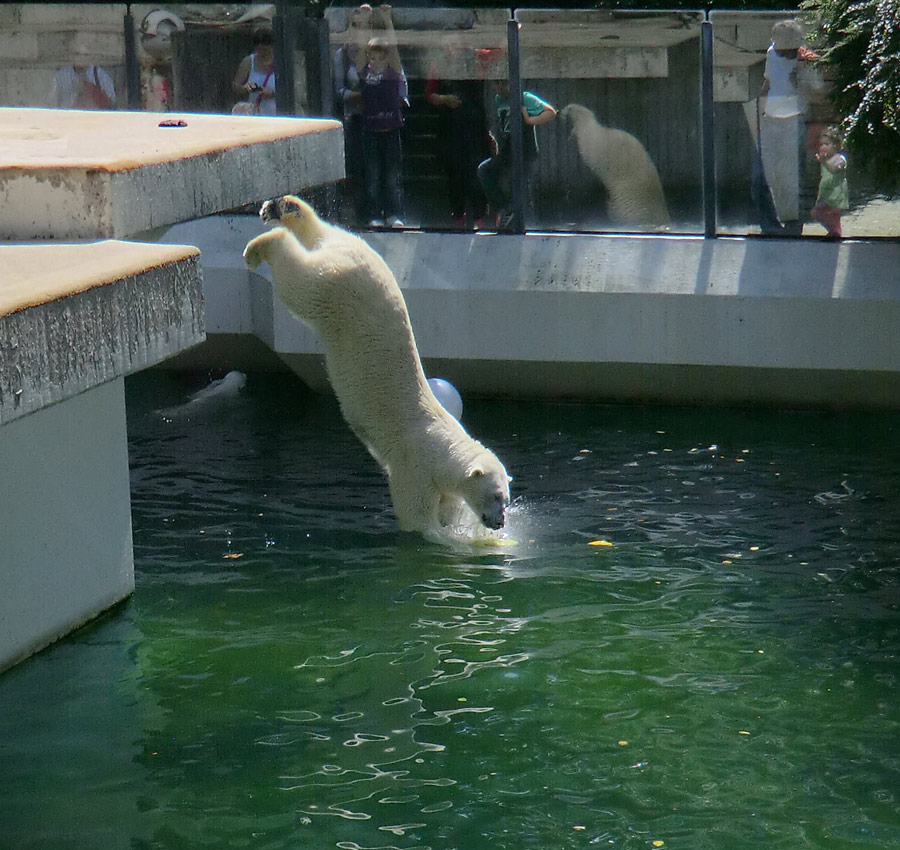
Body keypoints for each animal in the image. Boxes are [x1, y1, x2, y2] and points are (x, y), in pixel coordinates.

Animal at [243, 195, 510, 532]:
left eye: (506, 498)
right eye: (495, 496)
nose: (499, 522)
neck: (443, 445)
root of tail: (355, 253)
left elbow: (446, 505)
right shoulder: (415, 464)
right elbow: (415, 514)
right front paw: (447, 535)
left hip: (347, 252)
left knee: (320, 235)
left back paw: (285, 209)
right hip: (339, 288)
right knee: (301, 284)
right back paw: (260, 247)